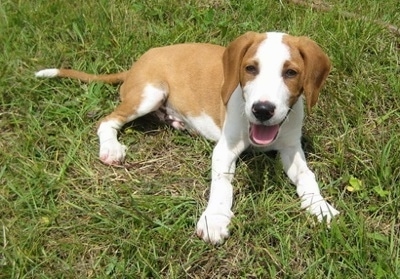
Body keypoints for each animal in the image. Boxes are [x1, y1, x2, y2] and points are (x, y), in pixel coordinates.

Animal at [36, 31, 340, 245]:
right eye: (250, 69)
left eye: (291, 73)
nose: (262, 110)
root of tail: (138, 63)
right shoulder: (225, 149)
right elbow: (222, 185)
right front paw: (215, 220)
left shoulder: (290, 148)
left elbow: (307, 177)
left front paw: (319, 206)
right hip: (149, 93)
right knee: (107, 121)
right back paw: (112, 148)